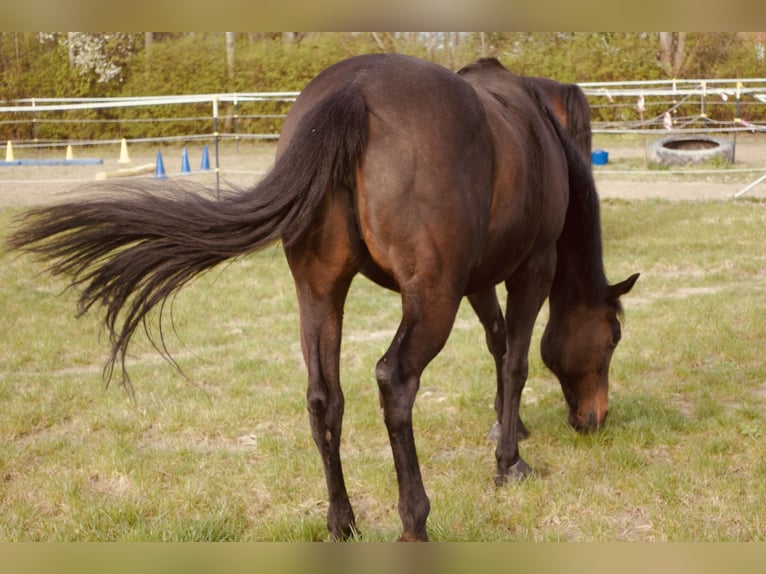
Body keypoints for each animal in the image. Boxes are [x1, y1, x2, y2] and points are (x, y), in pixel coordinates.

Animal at [8, 54, 638, 542]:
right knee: (394, 381)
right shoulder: (530, 269)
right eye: (613, 336)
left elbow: (497, 342)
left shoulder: (479, 279)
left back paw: (342, 521)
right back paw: (414, 521)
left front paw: (508, 429)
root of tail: (353, 93)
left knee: (322, 398)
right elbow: (515, 360)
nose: (594, 419)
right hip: (429, 297)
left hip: (320, 289)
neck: (533, 129)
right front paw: (509, 462)